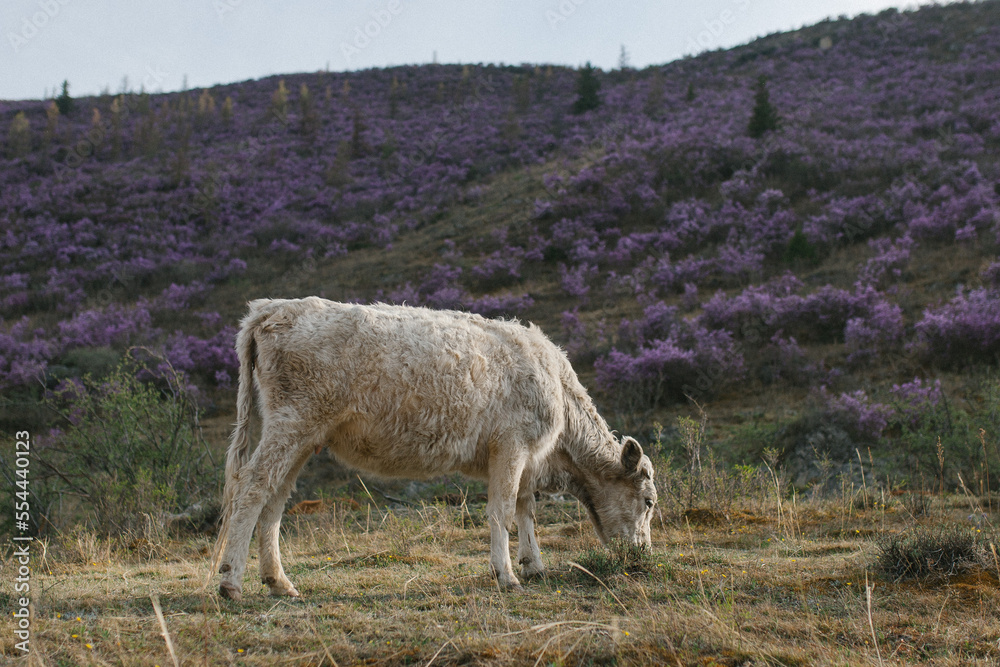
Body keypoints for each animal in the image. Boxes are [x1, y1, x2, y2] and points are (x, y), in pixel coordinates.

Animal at [212, 298, 657, 600]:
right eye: (649, 501)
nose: (643, 556)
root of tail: (274, 307)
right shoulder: (511, 445)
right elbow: (502, 510)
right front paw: (506, 575)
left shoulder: (526, 456)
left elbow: (525, 508)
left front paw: (534, 565)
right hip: (292, 421)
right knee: (253, 486)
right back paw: (231, 580)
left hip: (303, 435)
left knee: (275, 498)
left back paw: (278, 581)